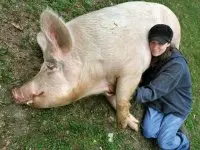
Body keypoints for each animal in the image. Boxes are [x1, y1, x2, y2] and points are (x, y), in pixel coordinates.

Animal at [12, 1, 181, 131]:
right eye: (41, 65)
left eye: (51, 66)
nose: (14, 92)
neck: (96, 80)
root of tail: (171, 11)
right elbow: (114, 97)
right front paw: (133, 124)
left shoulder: (133, 69)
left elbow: (122, 97)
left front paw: (125, 125)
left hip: (176, 39)